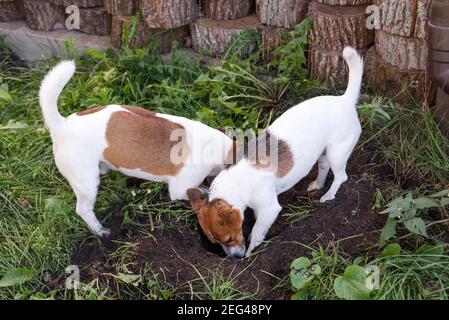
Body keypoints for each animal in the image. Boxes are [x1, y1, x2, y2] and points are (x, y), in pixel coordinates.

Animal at [39, 61, 234, 238]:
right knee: (83, 209)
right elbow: (201, 191)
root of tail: (63, 124)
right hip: (85, 182)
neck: (218, 148)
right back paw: (100, 231)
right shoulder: (180, 189)